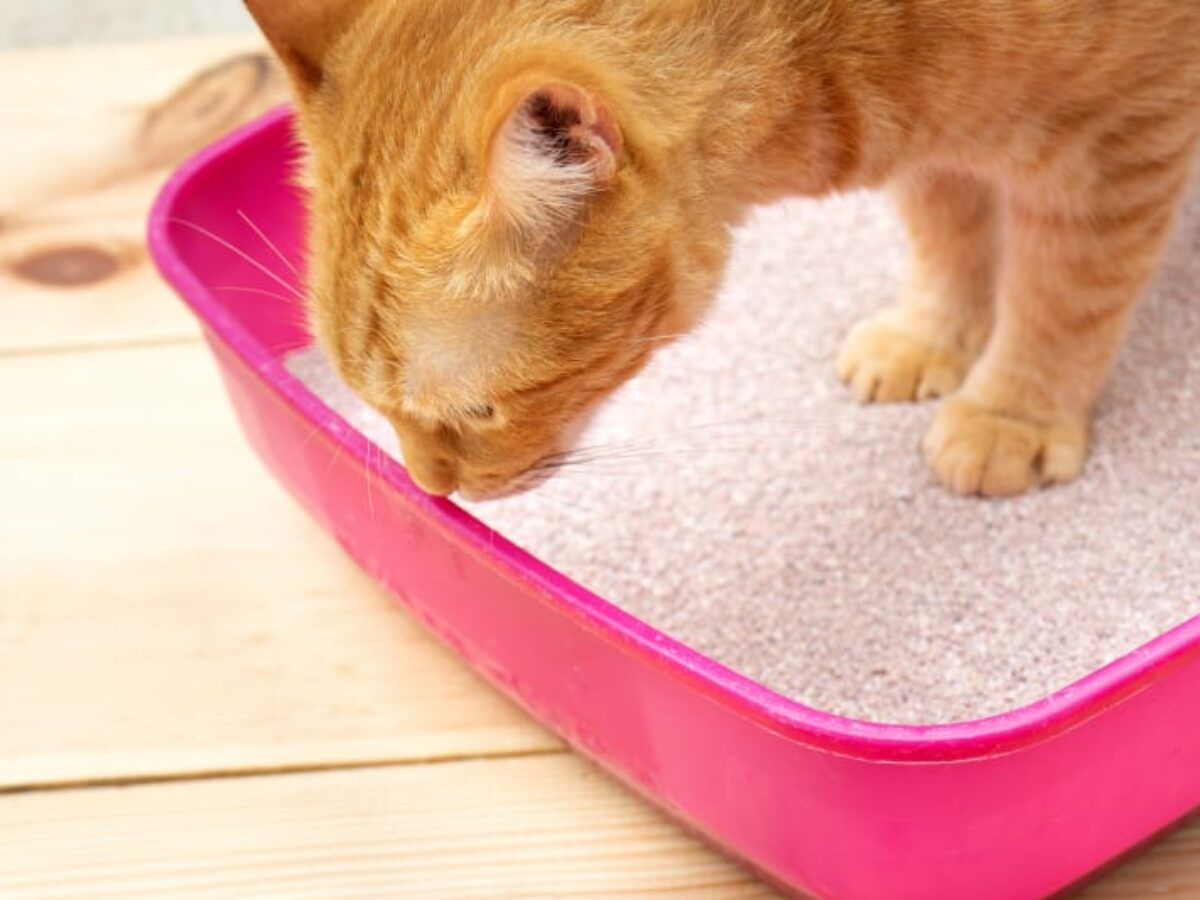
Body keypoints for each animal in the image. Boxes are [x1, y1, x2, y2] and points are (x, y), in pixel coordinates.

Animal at [245, 0, 1200, 500]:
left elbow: (1064, 294)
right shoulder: (940, 133)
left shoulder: (1121, 137)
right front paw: (933, 334)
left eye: (478, 411)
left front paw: (1014, 411)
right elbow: (950, 229)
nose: (431, 490)